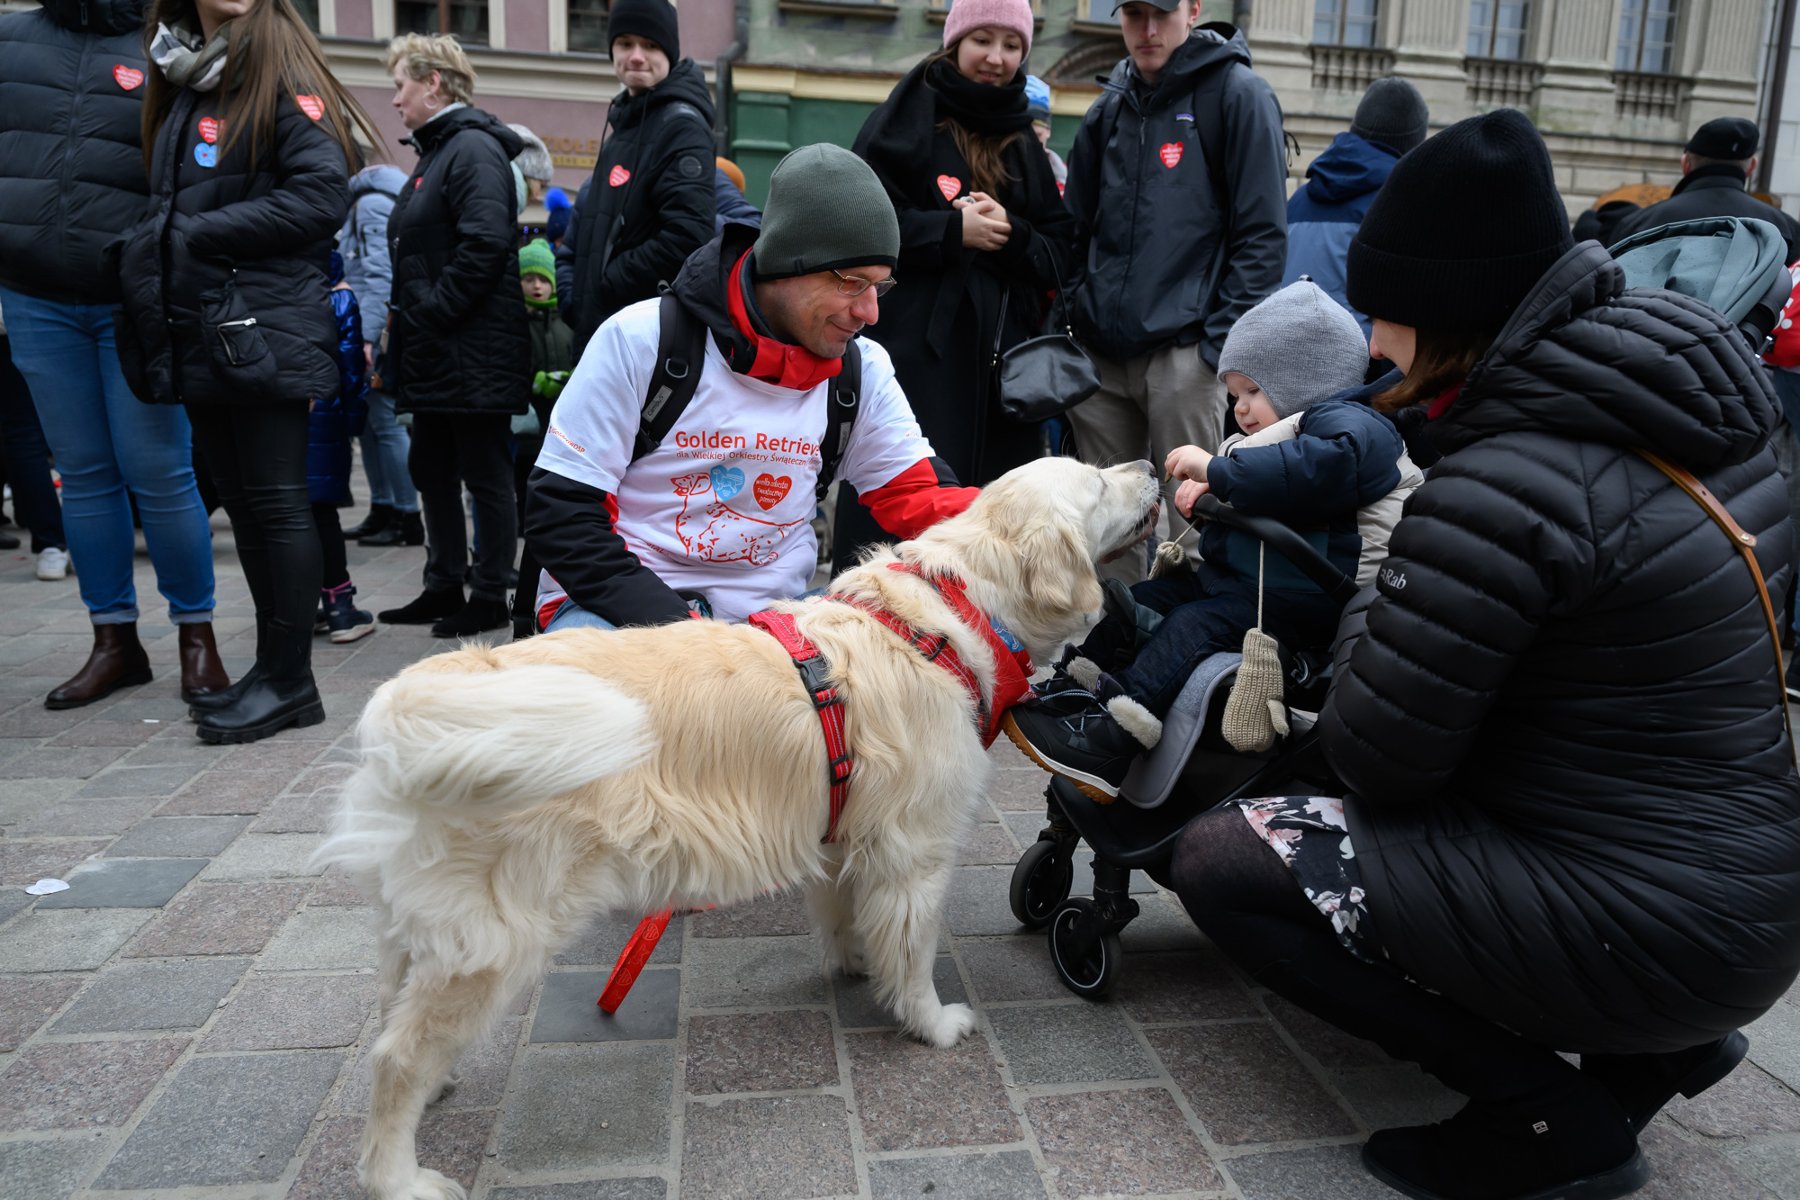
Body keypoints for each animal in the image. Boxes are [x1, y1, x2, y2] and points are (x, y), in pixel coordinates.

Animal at [316, 455, 1159, 1194]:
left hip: (425, 928)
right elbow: (914, 953)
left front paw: (857, 965)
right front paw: (930, 1022)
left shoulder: (847, 835)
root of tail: (415, 695)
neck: (951, 616)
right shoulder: (916, 852)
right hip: (494, 938)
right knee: (395, 1059)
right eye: (1096, 481)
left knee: (393, 1015)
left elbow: (849, 917)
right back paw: (399, 1179)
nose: (1154, 465)